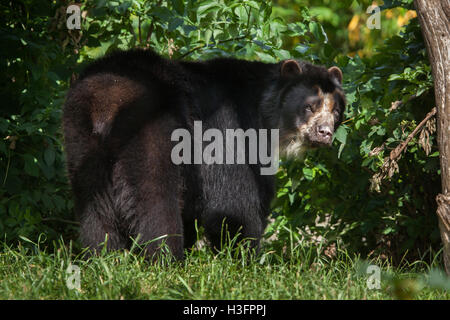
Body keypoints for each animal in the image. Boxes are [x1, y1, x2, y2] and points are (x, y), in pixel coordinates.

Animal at [62, 50, 344, 260]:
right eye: (309, 106)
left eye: (336, 111)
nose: (325, 133)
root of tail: (106, 105)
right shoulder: (231, 128)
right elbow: (235, 199)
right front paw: (242, 257)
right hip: (155, 130)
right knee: (155, 197)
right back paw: (166, 260)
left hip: (80, 140)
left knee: (94, 205)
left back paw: (104, 257)